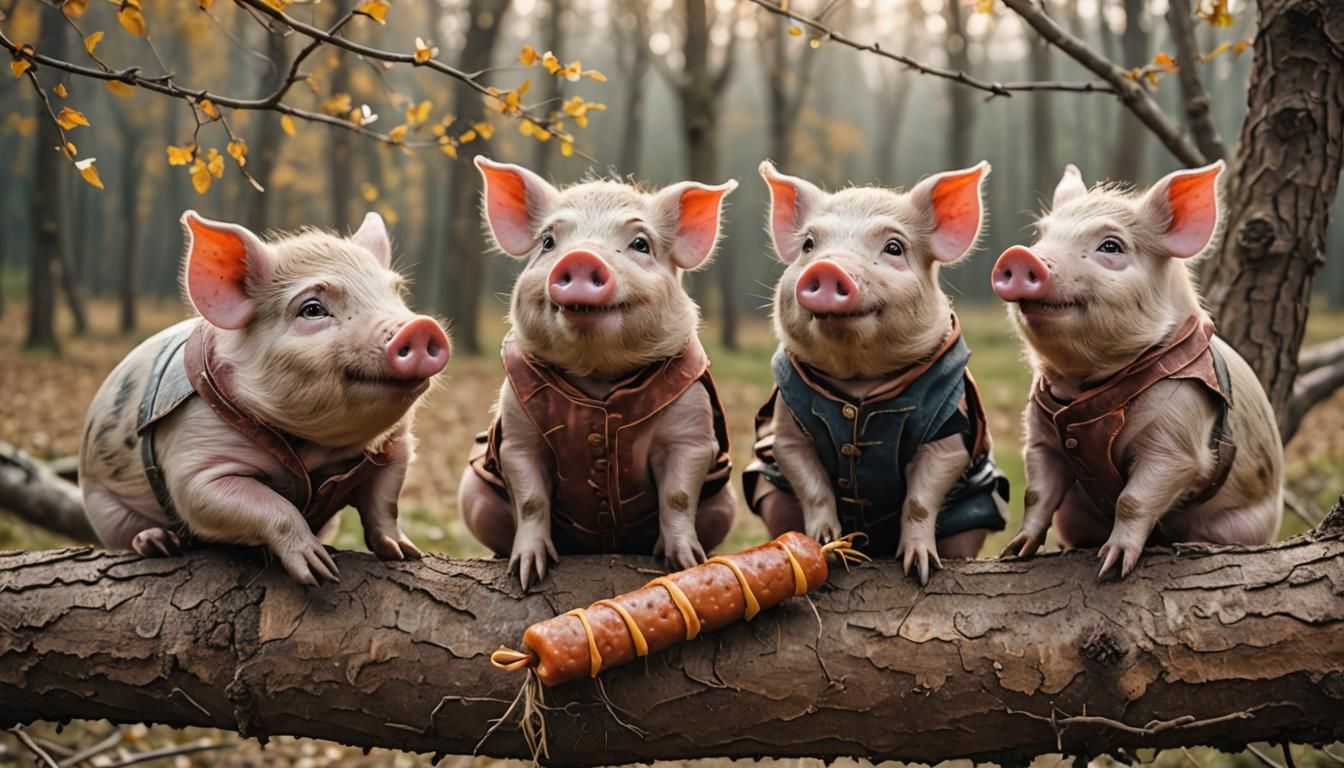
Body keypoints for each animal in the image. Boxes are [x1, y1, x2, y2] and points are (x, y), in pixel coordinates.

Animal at [78, 210, 450, 585]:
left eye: (397, 293)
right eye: (312, 309)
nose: (420, 327)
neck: (314, 450)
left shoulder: (398, 447)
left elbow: (384, 503)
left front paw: (405, 553)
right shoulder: (195, 458)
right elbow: (265, 504)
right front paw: (319, 572)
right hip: (102, 505)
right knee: (125, 534)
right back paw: (159, 543)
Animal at [458, 157, 738, 590]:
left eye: (640, 244)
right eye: (548, 242)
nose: (581, 258)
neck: (598, 379)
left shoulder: (692, 431)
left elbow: (677, 497)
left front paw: (687, 562)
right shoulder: (518, 435)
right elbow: (531, 500)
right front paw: (527, 574)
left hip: (724, 502)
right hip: (474, 492)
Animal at [741, 161, 1009, 584]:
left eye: (894, 247)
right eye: (809, 245)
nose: (827, 267)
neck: (859, 383)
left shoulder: (951, 430)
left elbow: (921, 497)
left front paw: (919, 569)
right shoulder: (787, 422)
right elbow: (810, 482)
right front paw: (826, 542)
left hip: (976, 507)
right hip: (770, 490)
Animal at [993, 161, 1283, 578]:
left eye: (1111, 246)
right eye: (1040, 236)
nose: (1019, 256)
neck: (1089, 384)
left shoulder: (1178, 434)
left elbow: (1134, 498)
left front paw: (1111, 567)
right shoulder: (1040, 435)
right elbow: (1036, 494)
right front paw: (1013, 553)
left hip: (1244, 521)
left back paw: (1193, 545)